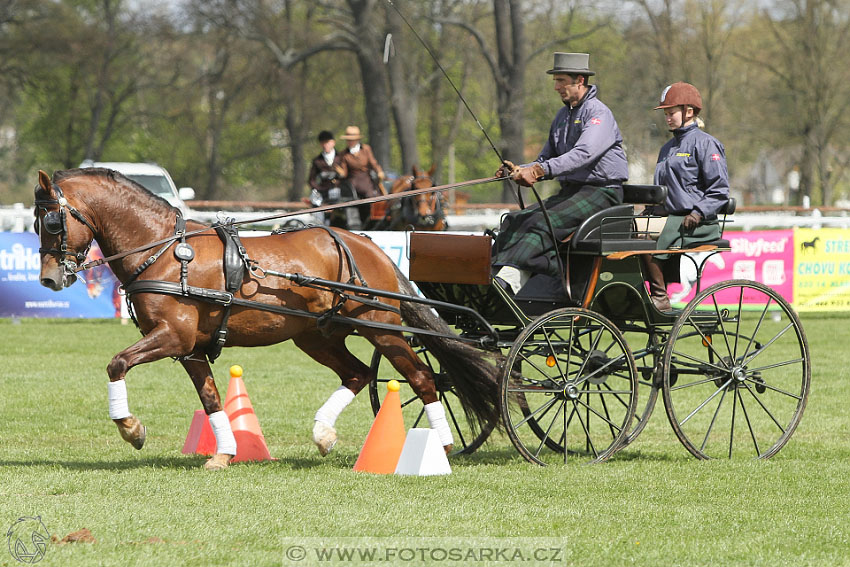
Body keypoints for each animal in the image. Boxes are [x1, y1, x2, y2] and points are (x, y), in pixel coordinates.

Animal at [33, 168, 496, 470]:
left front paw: (131, 428)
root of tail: (368, 244)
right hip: (317, 336)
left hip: (381, 328)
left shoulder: (173, 338)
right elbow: (211, 399)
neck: (164, 251)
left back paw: (442, 447)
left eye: (53, 221)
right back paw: (323, 434)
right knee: (358, 374)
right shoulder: (190, 349)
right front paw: (223, 453)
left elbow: (117, 363)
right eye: (37, 222)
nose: (50, 279)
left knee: (423, 378)